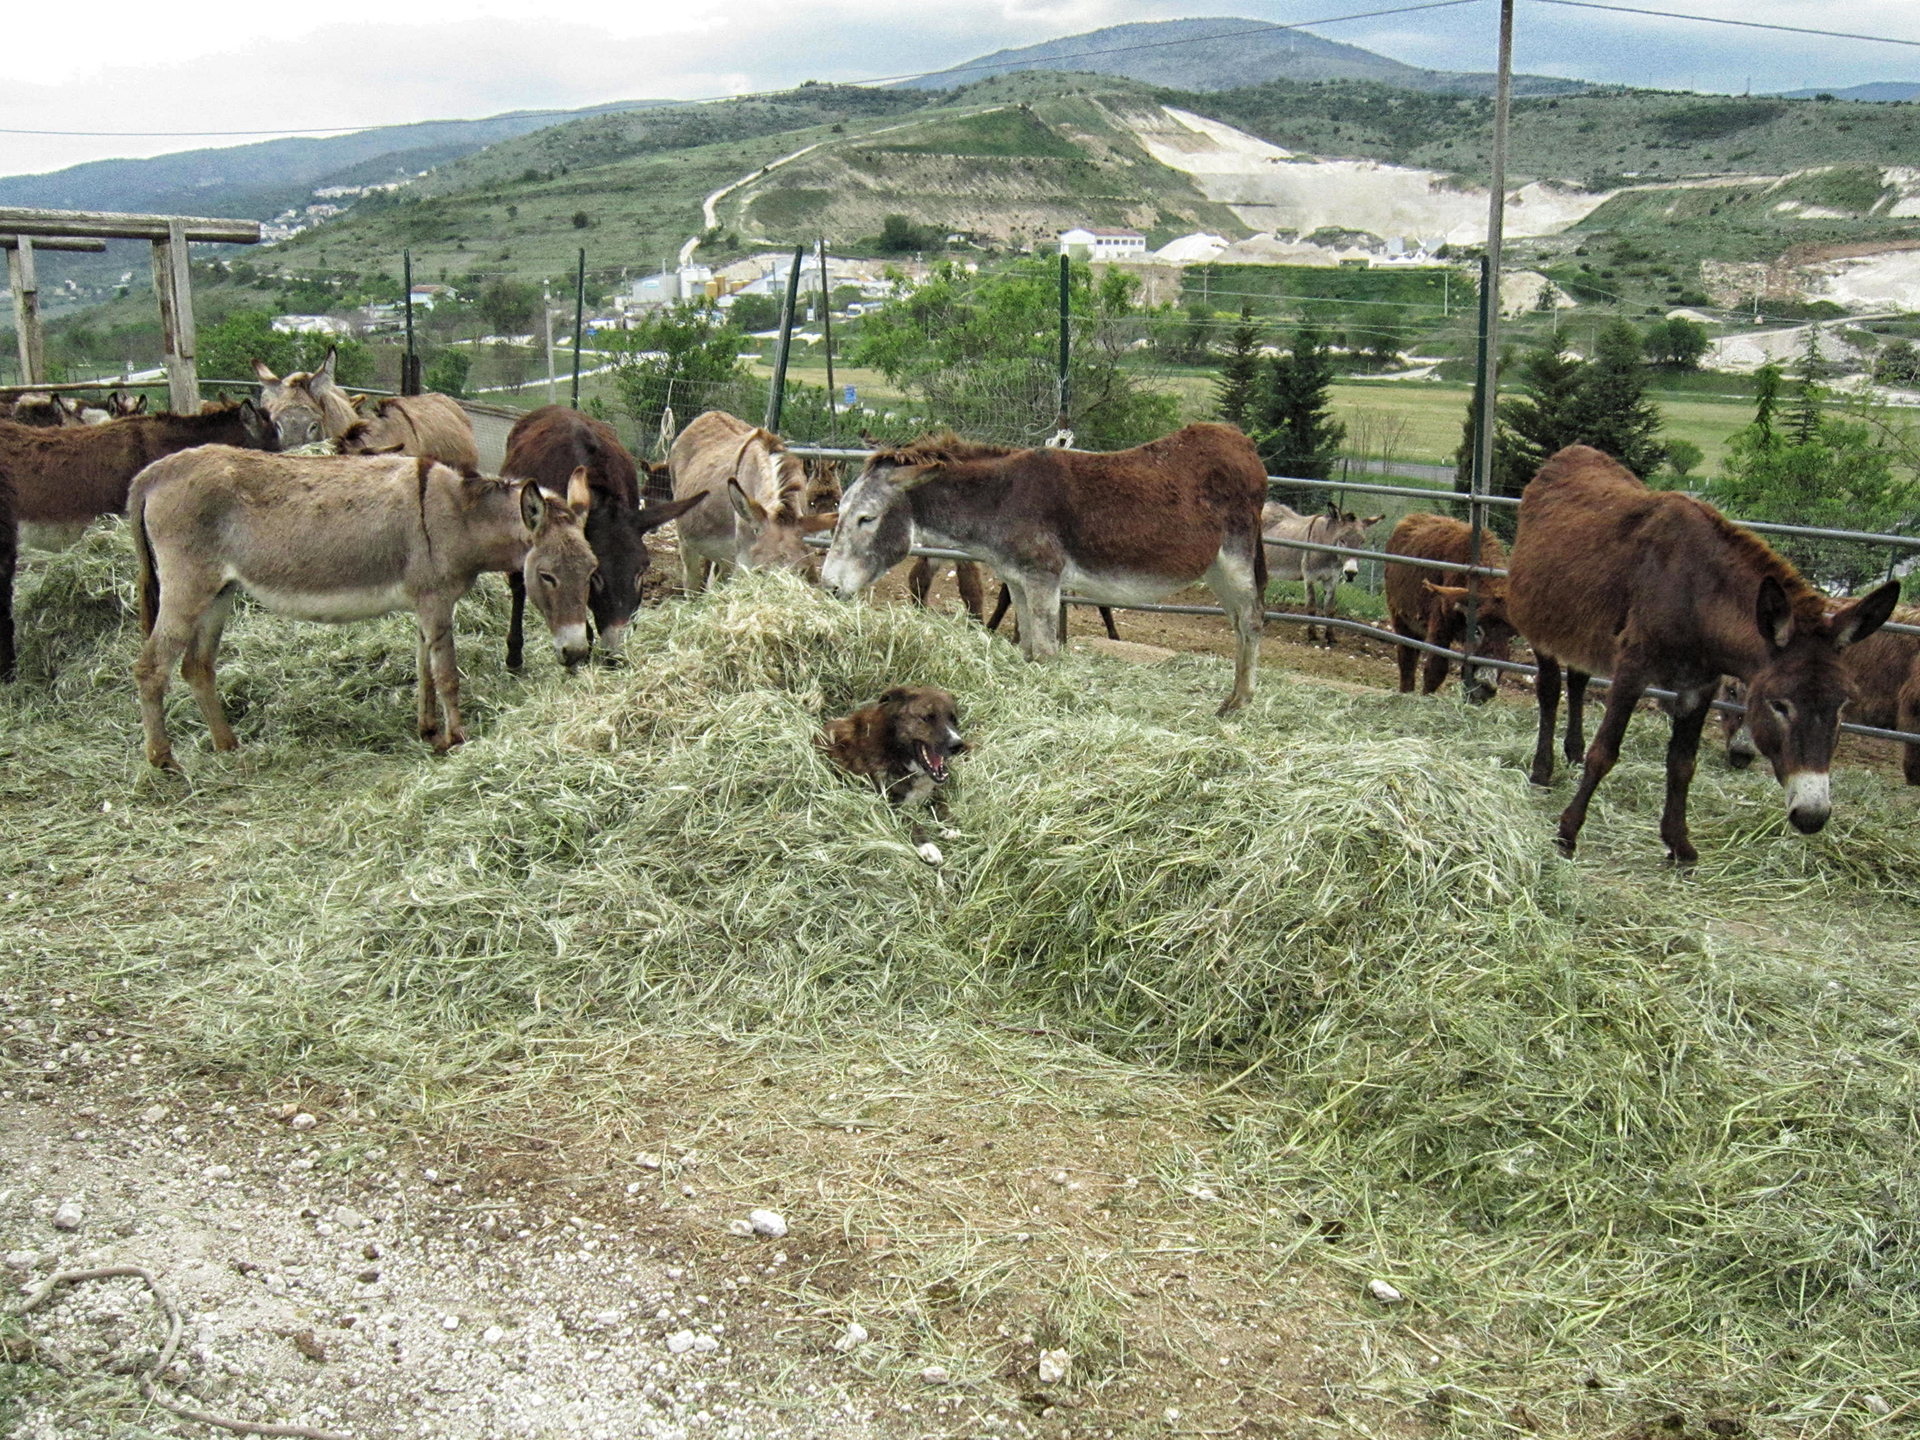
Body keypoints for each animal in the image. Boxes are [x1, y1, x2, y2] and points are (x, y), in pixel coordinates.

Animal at [821, 691, 967, 867]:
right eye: (927, 717)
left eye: (953, 719)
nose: (958, 745)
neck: (896, 754)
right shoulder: (888, 802)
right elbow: (910, 821)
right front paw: (927, 846)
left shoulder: (934, 789)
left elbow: (942, 803)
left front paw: (949, 824)